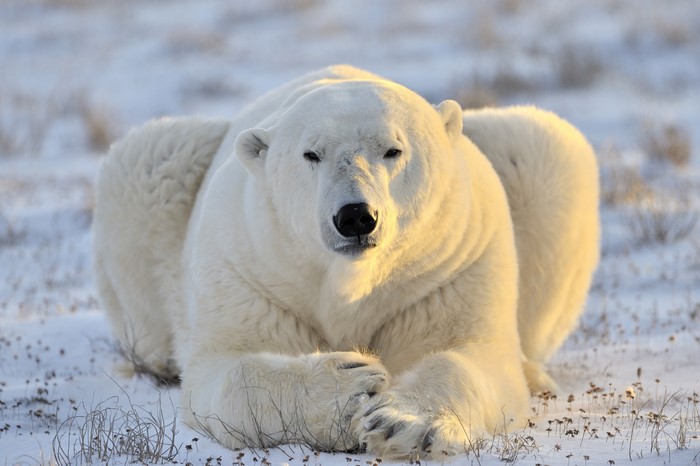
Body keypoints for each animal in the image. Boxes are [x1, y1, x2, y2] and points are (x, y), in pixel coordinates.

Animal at [92, 65, 599, 459]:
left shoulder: (452, 267)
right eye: (311, 153)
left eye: (393, 149)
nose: (355, 216)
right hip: (158, 178)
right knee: (148, 159)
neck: (352, 283)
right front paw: (350, 388)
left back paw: (536, 373)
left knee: (542, 145)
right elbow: (226, 368)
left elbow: (471, 354)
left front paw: (401, 423)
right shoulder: (249, 267)